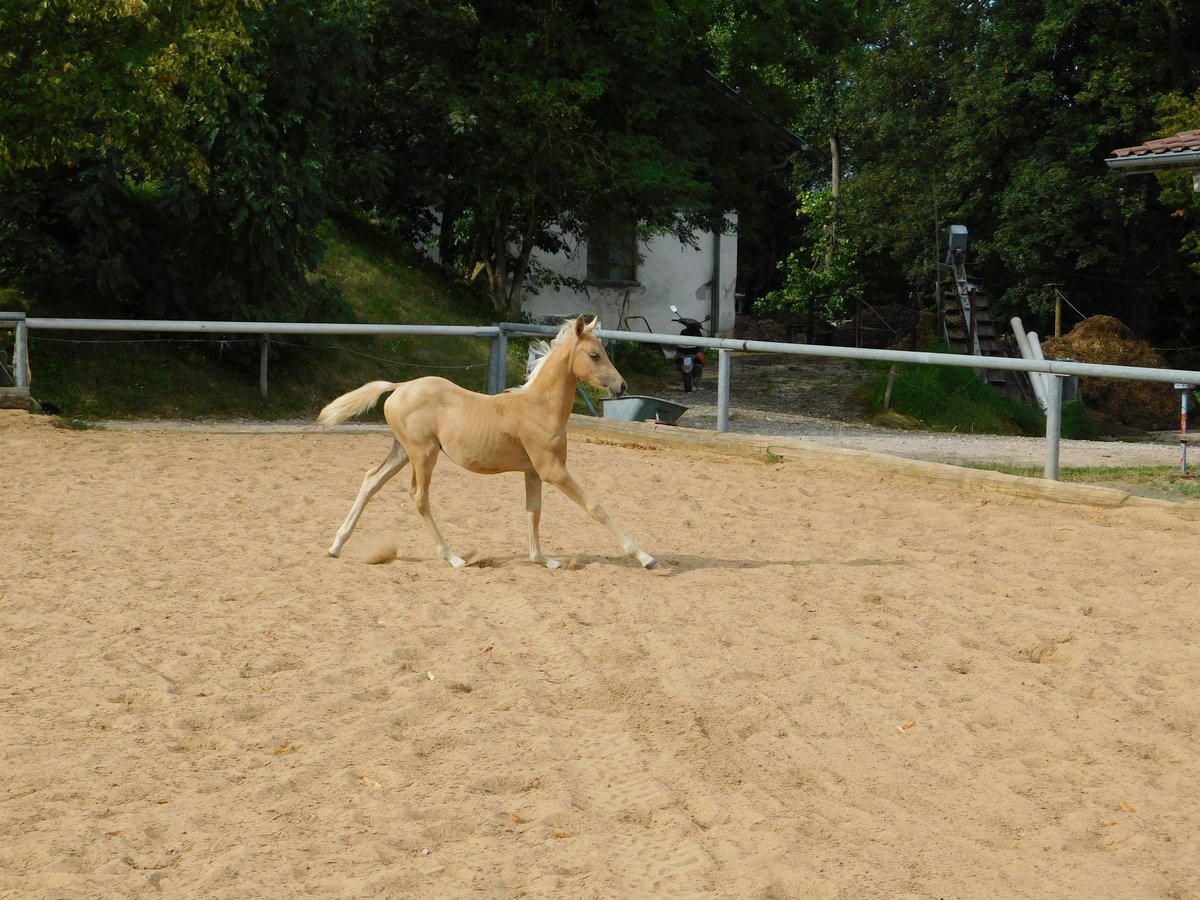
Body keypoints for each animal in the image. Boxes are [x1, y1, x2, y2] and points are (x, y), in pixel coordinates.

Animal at [316, 316, 657, 571]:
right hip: (423, 454)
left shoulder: (533, 472)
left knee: (371, 481)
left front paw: (543, 560)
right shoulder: (553, 471)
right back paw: (454, 558)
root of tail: (399, 387)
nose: (622, 385)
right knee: (419, 497)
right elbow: (595, 507)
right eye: (594, 354)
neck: (538, 407)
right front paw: (644, 556)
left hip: (402, 451)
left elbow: (534, 511)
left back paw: (335, 545)